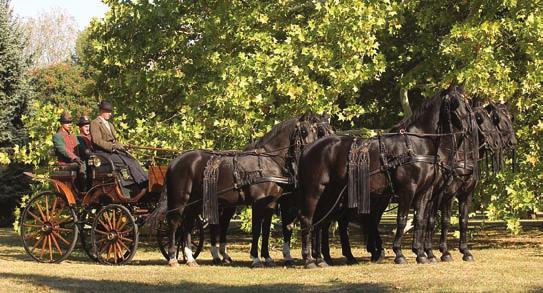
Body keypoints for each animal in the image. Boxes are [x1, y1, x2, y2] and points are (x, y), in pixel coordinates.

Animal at [163, 115, 332, 266]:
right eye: (303, 131)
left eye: (316, 130)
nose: (314, 150)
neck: (268, 161)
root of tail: (176, 161)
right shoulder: (259, 203)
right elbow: (257, 229)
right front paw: (256, 259)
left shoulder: (271, 204)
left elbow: (266, 230)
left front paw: (268, 258)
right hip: (180, 201)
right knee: (174, 224)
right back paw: (172, 258)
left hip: (196, 204)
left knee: (188, 226)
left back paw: (191, 259)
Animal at [298, 85, 476, 266]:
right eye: (455, 102)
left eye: (467, 102)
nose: (470, 126)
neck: (417, 144)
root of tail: (309, 148)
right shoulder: (408, 190)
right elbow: (402, 220)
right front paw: (399, 253)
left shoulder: (425, 192)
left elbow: (420, 220)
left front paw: (421, 254)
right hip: (315, 191)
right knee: (307, 219)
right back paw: (309, 259)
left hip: (331, 195)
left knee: (321, 222)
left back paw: (321, 259)